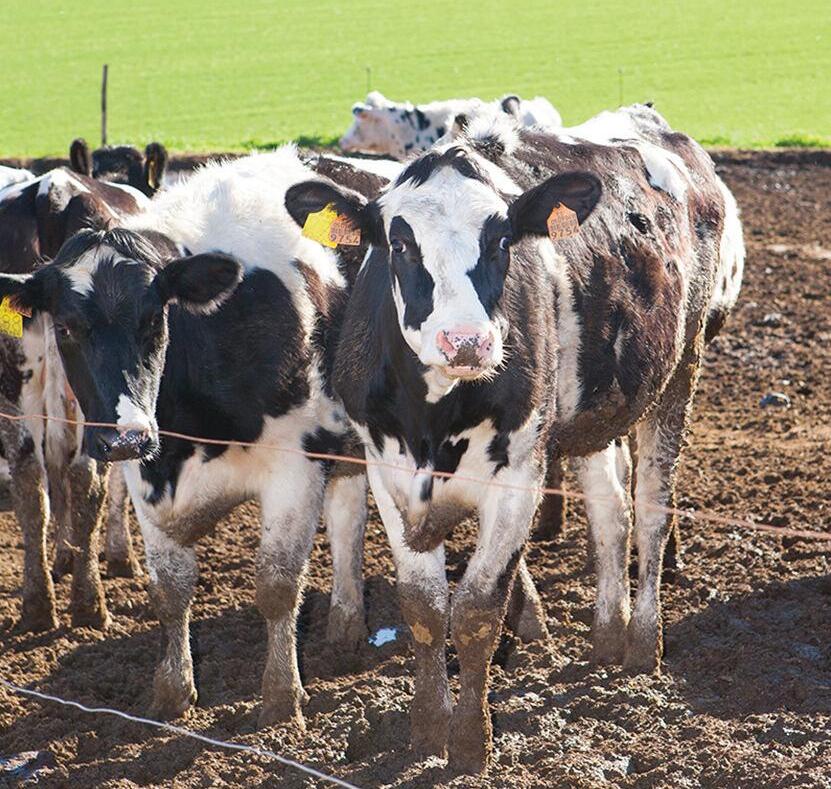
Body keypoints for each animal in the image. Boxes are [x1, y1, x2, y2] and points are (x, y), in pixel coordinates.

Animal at [286, 104, 744, 772]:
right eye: (399, 242)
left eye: (501, 239)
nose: (466, 341)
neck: (436, 419)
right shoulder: (387, 470)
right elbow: (424, 607)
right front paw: (427, 731)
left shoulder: (520, 477)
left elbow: (477, 610)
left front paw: (470, 744)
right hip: (594, 416)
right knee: (611, 514)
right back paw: (607, 633)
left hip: (678, 375)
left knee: (652, 516)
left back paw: (642, 645)